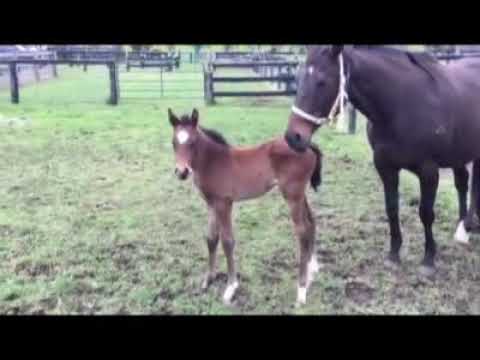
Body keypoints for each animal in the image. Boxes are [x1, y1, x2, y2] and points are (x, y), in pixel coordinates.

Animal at [168, 108, 322, 306]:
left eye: (193, 142)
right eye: (173, 143)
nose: (182, 172)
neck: (213, 161)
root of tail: (308, 146)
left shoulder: (224, 203)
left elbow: (227, 241)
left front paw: (231, 287)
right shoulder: (211, 204)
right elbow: (211, 238)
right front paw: (208, 279)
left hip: (292, 196)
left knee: (302, 231)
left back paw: (301, 291)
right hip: (300, 195)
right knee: (311, 222)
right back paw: (312, 268)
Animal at [284, 45, 480, 276]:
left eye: (322, 81)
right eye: (298, 78)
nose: (293, 137)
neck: (401, 106)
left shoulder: (429, 171)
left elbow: (426, 213)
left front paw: (428, 260)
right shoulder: (385, 167)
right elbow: (391, 208)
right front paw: (393, 255)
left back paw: (467, 227)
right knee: (463, 183)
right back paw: (463, 229)